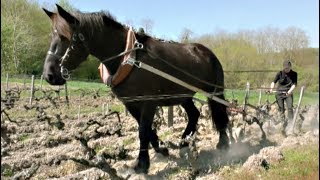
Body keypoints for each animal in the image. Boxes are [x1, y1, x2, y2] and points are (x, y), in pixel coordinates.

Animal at [43, 4, 230, 173]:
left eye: (65, 37)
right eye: (52, 36)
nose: (49, 75)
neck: (129, 59)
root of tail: (206, 51)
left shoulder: (149, 101)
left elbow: (143, 130)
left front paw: (142, 164)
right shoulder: (130, 102)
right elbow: (145, 129)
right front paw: (161, 148)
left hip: (214, 90)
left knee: (219, 111)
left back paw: (223, 143)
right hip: (183, 94)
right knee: (194, 114)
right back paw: (183, 143)